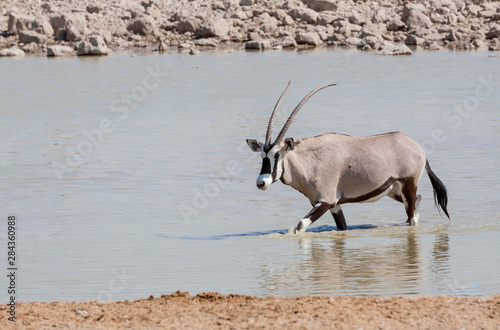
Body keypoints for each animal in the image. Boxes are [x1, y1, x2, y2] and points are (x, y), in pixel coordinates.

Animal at [246, 81, 450, 233]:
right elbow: (342, 227)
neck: (310, 162)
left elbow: (299, 226)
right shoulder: (333, 205)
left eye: (276, 155)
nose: (261, 182)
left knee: (412, 217)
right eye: (262, 156)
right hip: (393, 190)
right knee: (417, 203)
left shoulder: (325, 201)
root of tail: (418, 148)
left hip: (408, 185)